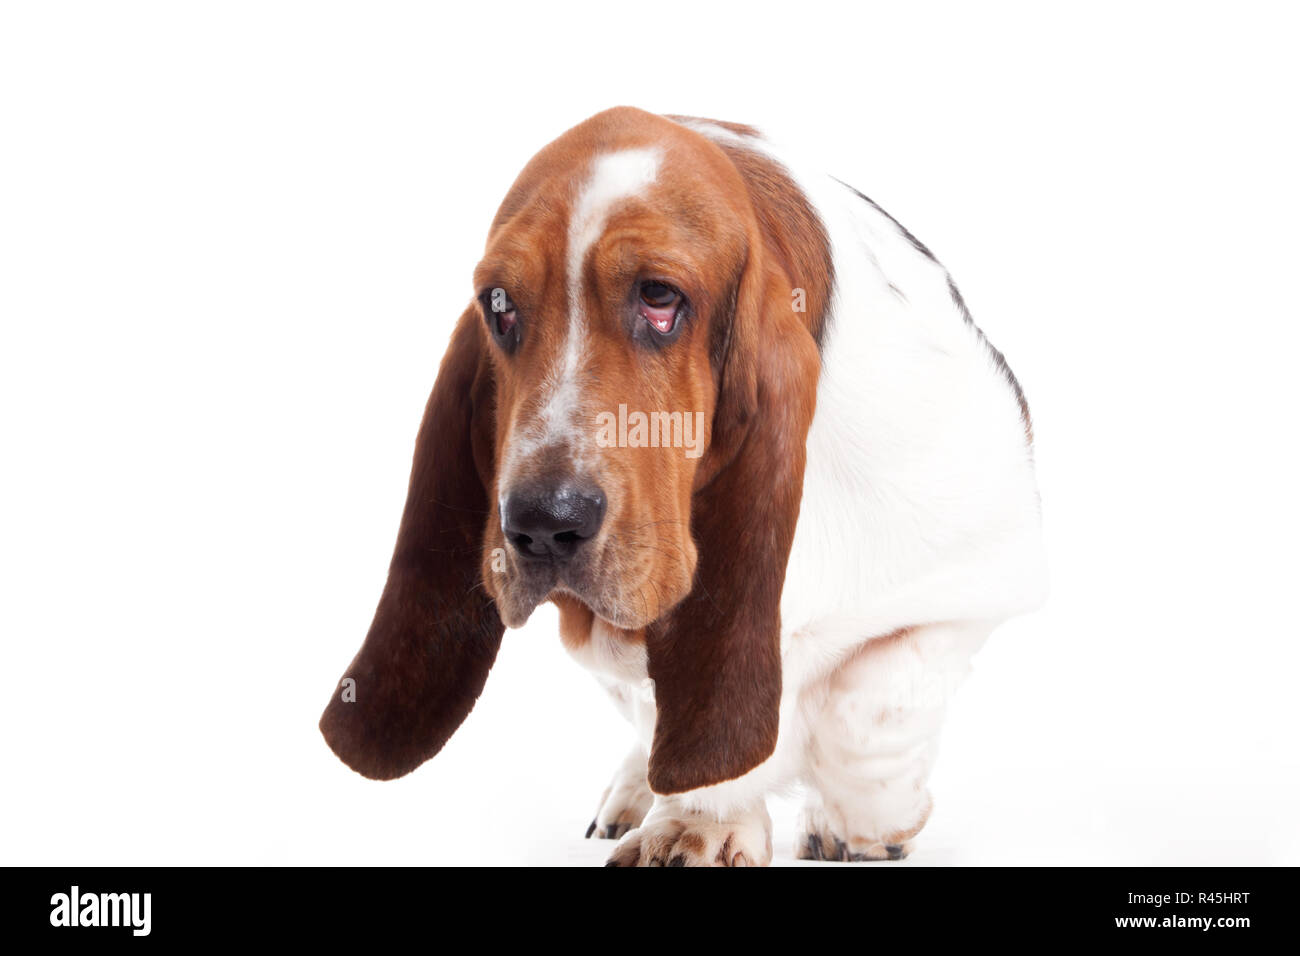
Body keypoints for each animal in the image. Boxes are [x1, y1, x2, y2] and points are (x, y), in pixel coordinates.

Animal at [317, 106, 1045, 868]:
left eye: (660, 298)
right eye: (499, 306)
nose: (543, 523)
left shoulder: (988, 576)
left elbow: (872, 699)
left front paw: (863, 818)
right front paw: (696, 820)